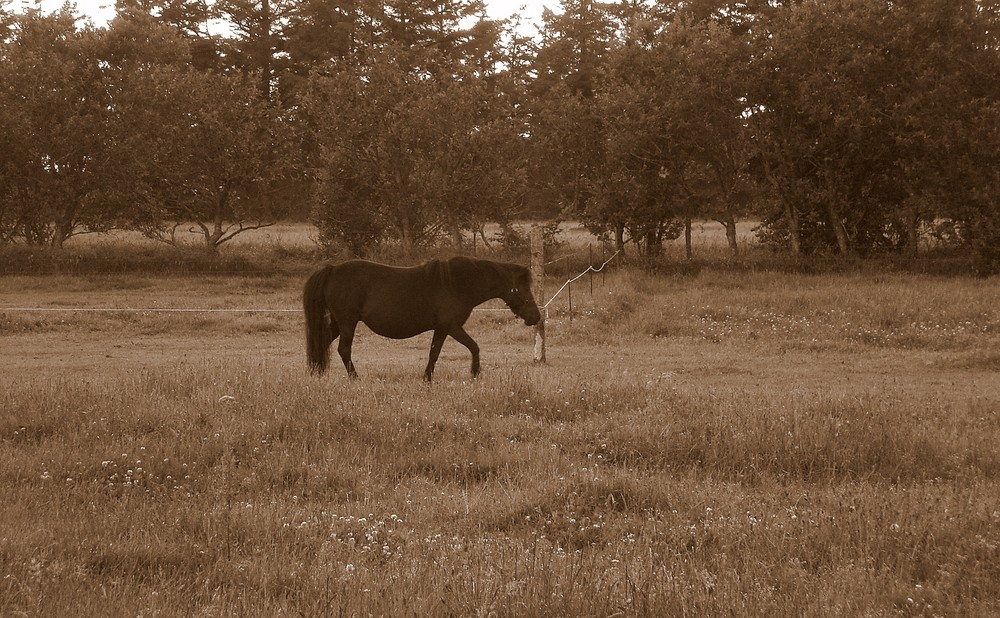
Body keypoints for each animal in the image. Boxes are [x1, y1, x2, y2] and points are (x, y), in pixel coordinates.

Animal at [302, 255, 544, 380]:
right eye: (521, 289)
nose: (535, 316)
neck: (457, 284)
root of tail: (333, 269)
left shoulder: (442, 329)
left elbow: (434, 353)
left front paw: (427, 377)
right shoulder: (452, 327)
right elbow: (474, 347)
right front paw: (475, 372)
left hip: (338, 323)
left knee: (323, 342)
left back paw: (316, 371)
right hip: (348, 323)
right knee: (344, 350)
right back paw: (355, 378)